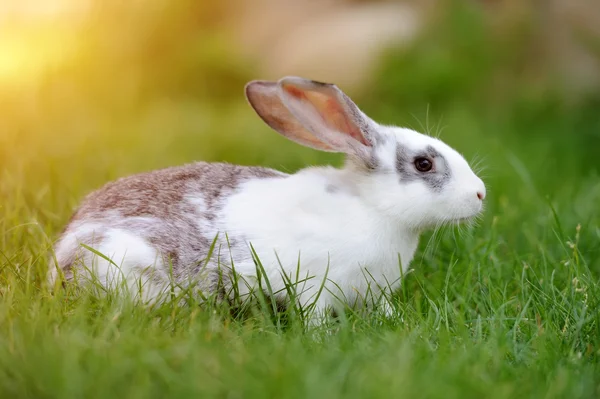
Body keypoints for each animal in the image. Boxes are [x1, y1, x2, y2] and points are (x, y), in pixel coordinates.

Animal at [48, 76, 488, 324]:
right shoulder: (317, 286)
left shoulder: (373, 292)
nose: (480, 194)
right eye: (424, 163)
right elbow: (313, 316)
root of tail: (60, 259)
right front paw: (320, 337)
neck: (372, 209)